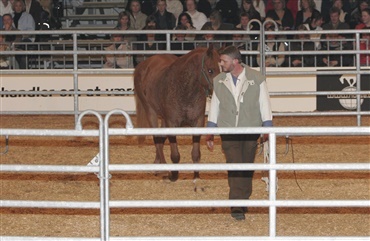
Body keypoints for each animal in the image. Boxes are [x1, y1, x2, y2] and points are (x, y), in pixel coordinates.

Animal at [133, 46, 220, 183]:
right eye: (210, 70)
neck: (184, 90)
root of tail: (144, 64)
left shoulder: (198, 122)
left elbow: (196, 153)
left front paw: (196, 176)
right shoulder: (172, 123)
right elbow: (175, 155)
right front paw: (173, 175)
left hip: (163, 118)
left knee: (161, 138)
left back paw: (157, 162)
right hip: (151, 111)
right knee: (156, 137)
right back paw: (163, 168)